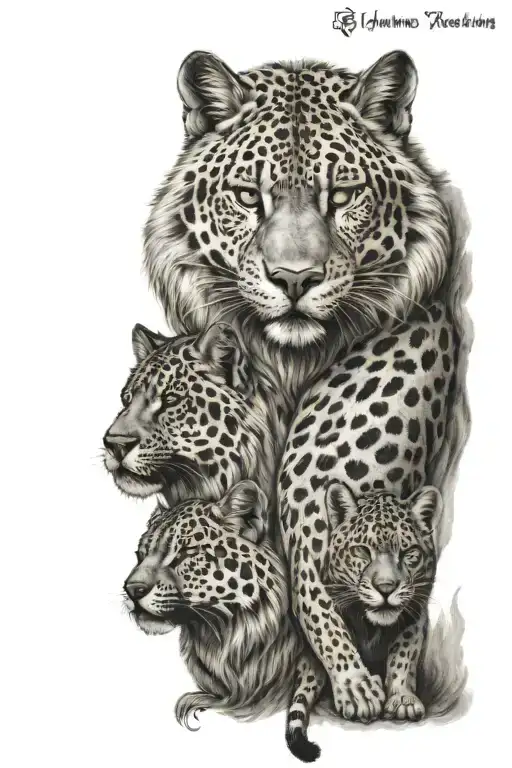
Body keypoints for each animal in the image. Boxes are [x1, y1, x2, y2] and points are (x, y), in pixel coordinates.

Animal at [279, 301, 456, 722]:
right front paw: (356, 687)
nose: (386, 589)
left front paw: (402, 693)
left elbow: (408, 641)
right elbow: (323, 619)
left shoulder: (419, 594)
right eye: (361, 551)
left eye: (409, 554)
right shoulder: (306, 549)